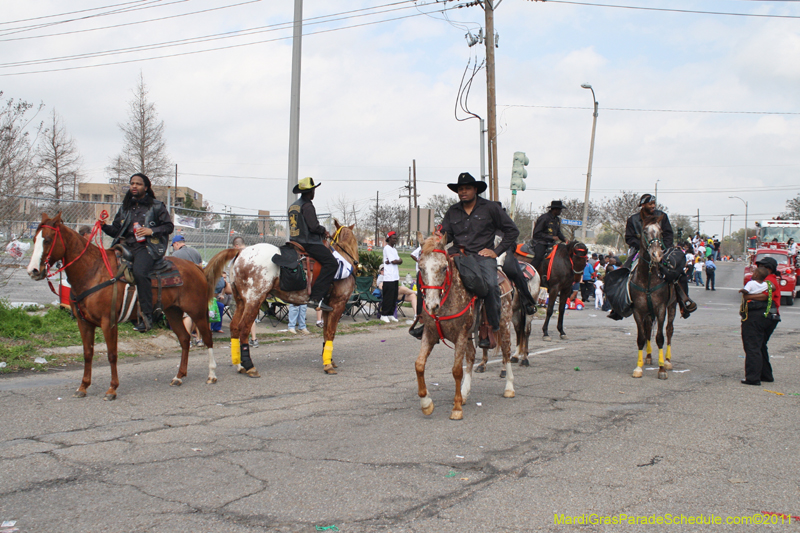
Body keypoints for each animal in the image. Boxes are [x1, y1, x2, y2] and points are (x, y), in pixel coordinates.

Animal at [25, 212, 219, 400]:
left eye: (48, 239)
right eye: (34, 239)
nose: (33, 271)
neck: (93, 272)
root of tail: (197, 267)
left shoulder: (108, 322)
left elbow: (112, 355)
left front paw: (112, 389)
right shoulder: (84, 322)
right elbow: (87, 353)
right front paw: (83, 386)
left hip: (196, 311)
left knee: (208, 337)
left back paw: (211, 375)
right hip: (173, 312)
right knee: (185, 339)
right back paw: (179, 376)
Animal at [205, 219, 358, 374]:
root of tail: (242, 251)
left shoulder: (328, 307)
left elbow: (326, 333)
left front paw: (328, 359)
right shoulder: (338, 304)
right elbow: (331, 332)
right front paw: (328, 365)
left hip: (241, 301)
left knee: (235, 327)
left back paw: (239, 364)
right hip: (254, 301)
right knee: (244, 328)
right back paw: (249, 365)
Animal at [412, 232, 512, 420]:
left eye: (444, 268)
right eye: (421, 268)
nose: (431, 305)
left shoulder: (460, 335)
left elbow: (457, 370)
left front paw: (457, 408)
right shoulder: (430, 333)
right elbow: (419, 365)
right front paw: (426, 403)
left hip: (504, 325)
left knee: (507, 353)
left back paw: (509, 388)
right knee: (472, 356)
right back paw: (465, 393)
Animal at [628, 215, 680, 378]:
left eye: (661, 231)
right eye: (644, 231)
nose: (657, 255)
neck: (648, 278)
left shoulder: (661, 308)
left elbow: (660, 338)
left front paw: (662, 369)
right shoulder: (638, 310)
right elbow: (641, 337)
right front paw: (638, 368)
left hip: (672, 305)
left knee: (669, 330)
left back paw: (667, 361)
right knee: (648, 329)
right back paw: (649, 357)